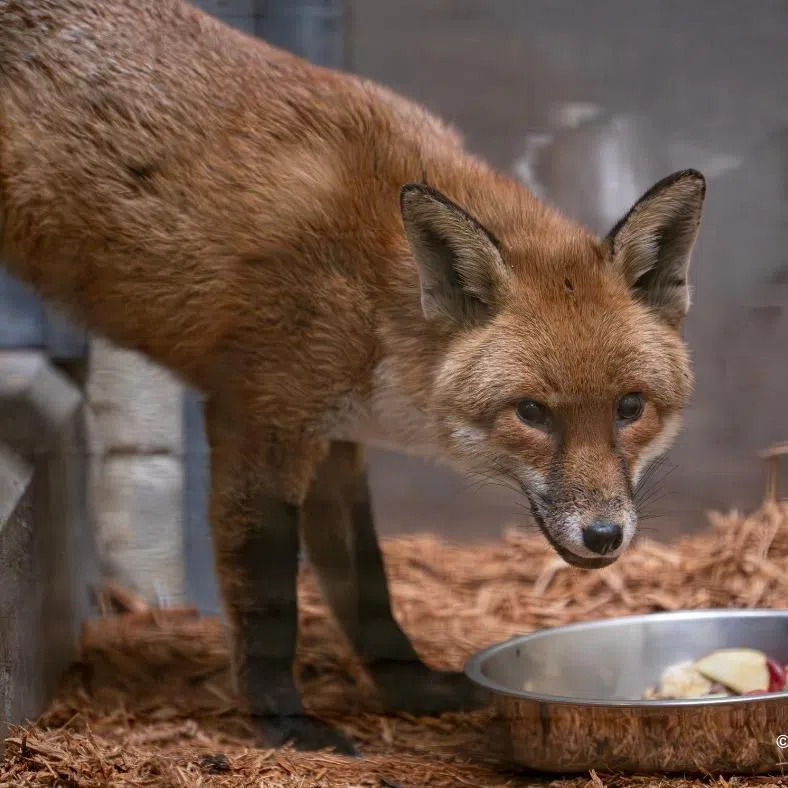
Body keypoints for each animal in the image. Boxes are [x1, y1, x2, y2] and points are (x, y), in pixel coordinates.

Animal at [0, 0, 705, 756]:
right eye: (532, 413)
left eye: (629, 407)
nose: (605, 536)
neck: (375, 298)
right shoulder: (259, 418)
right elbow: (269, 601)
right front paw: (285, 721)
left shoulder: (337, 441)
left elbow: (369, 588)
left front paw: (413, 690)